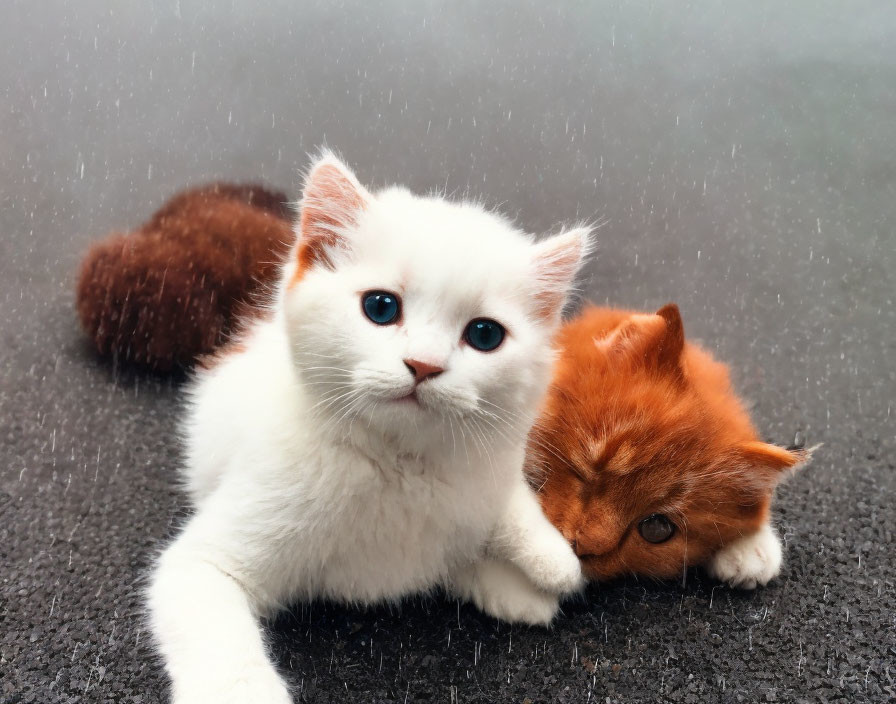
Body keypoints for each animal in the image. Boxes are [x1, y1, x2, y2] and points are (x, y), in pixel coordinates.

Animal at [150, 151, 592, 700]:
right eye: (381, 307)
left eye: (485, 335)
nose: (424, 365)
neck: (395, 464)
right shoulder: (200, 567)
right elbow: (218, 634)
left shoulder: (488, 471)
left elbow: (505, 508)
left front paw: (547, 563)